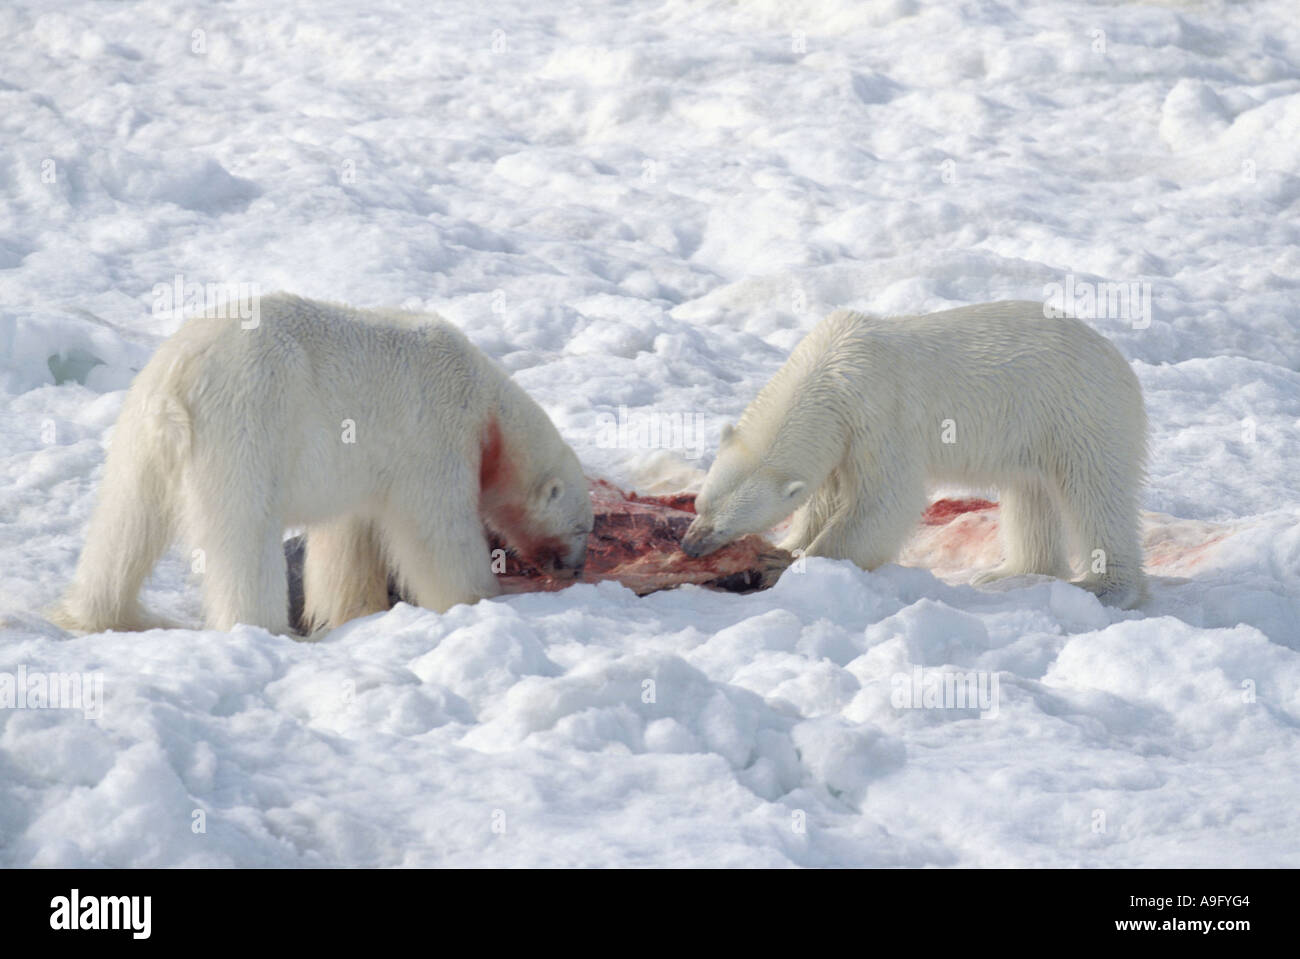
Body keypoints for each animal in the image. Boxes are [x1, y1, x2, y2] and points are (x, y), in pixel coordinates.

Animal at [54, 291, 595, 634]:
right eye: (583, 527)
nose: (574, 567)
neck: (486, 406)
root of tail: (179, 379)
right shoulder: (435, 436)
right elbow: (438, 530)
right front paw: (479, 597)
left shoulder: (366, 466)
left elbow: (349, 537)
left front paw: (353, 610)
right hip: (246, 425)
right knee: (243, 533)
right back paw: (264, 628)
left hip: (140, 434)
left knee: (125, 521)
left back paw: (102, 614)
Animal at [681, 300, 1149, 605]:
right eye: (701, 505)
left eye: (724, 524)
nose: (689, 545)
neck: (830, 368)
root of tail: (1119, 360)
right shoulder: (842, 437)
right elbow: (826, 496)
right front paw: (790, 546)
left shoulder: (879, 414)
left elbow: (886, 501)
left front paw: (787, 566)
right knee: (1029, 495)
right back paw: (1010, 570)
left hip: (1080, 414)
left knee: (1095, 493)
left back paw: (1107, 588)